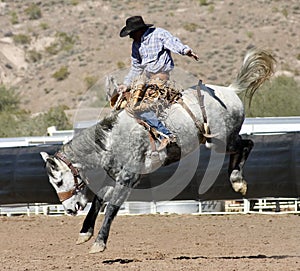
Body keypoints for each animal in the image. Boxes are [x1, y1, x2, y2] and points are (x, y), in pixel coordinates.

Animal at [41, 47, 276, 254]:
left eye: (58, 181)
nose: (69, 210)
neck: (111, 140)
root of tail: (230, 90)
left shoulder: (129, 178)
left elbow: (112, 207)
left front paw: (99, 243)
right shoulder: (115, 176)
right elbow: (98, 200)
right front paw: (85, 233)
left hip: (220, 140)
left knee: (248, 144)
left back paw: (237, 181)